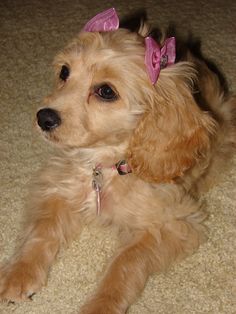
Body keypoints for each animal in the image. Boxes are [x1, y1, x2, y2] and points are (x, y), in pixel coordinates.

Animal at [0, 7, 236, 314]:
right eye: (64, 72)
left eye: (106, 92)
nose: (44, 118)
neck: (104, 167)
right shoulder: (55, 188)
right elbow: (40, 232)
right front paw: (18, 274)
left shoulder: (175, 223)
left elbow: (126, 262)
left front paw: (101, 305)